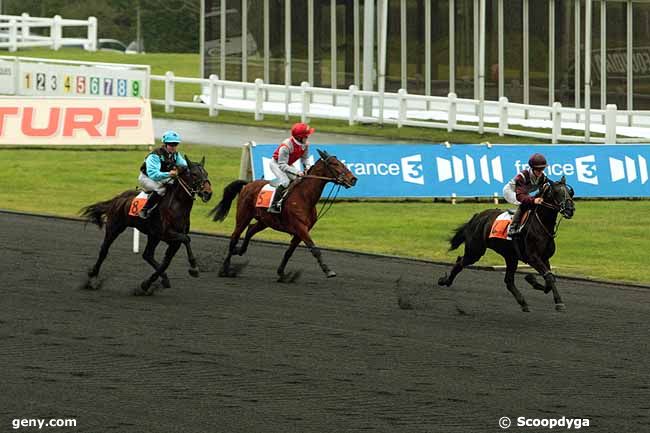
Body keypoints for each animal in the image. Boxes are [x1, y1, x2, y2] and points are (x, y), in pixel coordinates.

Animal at [77, 155, 211, 294]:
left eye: (206, 173)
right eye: (194, 174)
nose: (208, 193)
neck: (177, 206)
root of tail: (117, 198)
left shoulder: (173, 240)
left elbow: (166, 262)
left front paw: (146, 284)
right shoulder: (167, 234)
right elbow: (186, 239)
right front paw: (194, 268)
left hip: (152, 236)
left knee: (147, 255)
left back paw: (161, 280)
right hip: (115, 227)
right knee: (104, 249)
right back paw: (92, 277)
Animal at [210, 150, 356, 282]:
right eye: (334, 164)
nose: (353, 179)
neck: (304, 197)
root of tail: (248, 184)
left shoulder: (301, 231)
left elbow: (289, 252)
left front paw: (282, 274)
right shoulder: (300, 228)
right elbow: (315, 250)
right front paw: (328, 271)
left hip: (264, 221)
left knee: (250, 230)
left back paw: (239, 251)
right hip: (243, 215)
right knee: (235, 236)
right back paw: (225, 268)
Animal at [436, 176, 572, 310]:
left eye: (570, 192)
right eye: (557, 192)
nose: (570, 209)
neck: (540, 224)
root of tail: (477, 217)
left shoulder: (544, 257)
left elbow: (549, 280)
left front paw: (531, 279)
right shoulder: (533, 257)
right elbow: (549, 277)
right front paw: (559, 302)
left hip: (510, 256)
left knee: (508, 281)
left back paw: (523, 302)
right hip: (475, 251)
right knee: (460, 262)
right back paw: (445, 281)